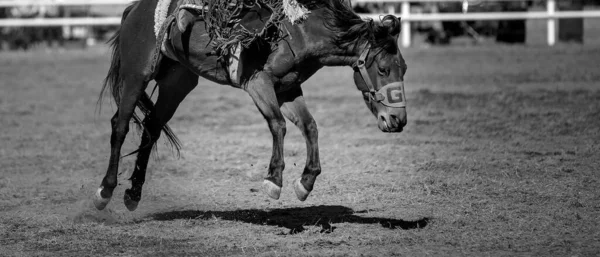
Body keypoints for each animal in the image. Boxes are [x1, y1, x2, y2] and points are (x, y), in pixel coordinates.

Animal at [94, 0, 408, 210]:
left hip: (177, 82)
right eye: (382, 69)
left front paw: (305, 182)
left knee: (151, 128)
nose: (398, 120)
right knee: (119, 126)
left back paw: (133, 193)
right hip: (136, 75)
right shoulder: (258, 82)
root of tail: (134, 10)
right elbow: (278, 125)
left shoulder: (287, 88)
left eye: (403, 68)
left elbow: (309, 126)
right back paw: (105, 191)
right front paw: (274, 179)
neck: (299, 30)